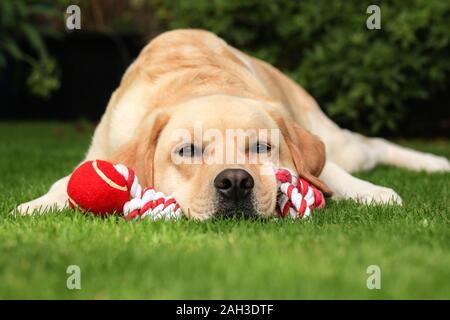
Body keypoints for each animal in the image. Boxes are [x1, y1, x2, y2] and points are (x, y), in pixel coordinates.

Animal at [15, 30, 448, 219]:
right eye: (187, 150)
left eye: (261, 147)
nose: (236, 181)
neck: (196, 85)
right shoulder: (102, 150)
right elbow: (67, 182)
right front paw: (36, 204)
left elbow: (330, 174)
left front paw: (375, 194)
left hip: (337, 139)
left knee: (370, 145)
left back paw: (435, 163)